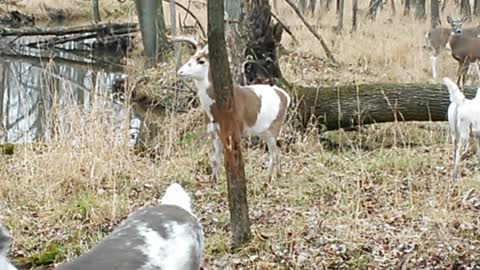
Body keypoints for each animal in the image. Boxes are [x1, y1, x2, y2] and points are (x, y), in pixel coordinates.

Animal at [173, 36, 290, 181]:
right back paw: (278, 176)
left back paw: (268, 180)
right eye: (191, 56)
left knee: (273, 154)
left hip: (274, 128)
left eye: (201, 60)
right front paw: (214, 181)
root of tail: (286, 96)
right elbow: (215, 160)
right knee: (277, 151)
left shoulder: (235, 130)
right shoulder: (213, 133)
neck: (215, 112)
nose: (180, 71)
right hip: (265, 131)